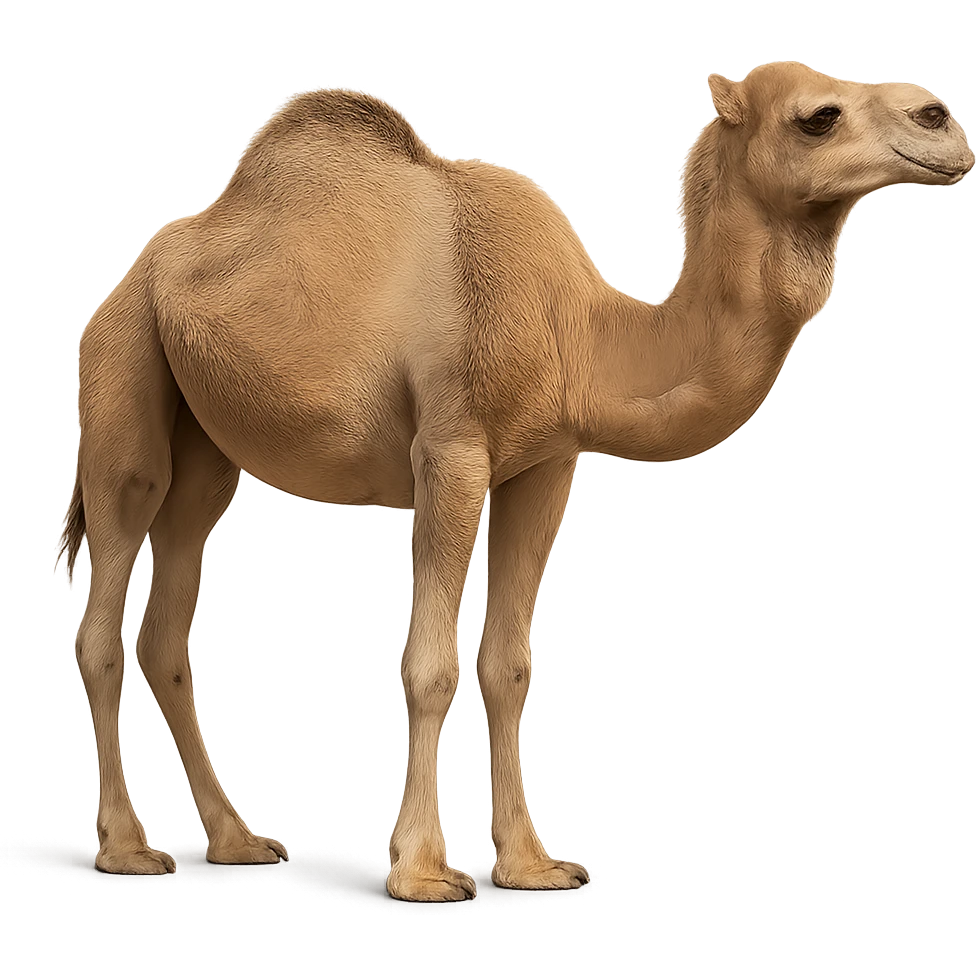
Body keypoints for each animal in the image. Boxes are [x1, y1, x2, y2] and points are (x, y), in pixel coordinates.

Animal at [55, 63, 972, 901]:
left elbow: (509, 665)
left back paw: (237, 840)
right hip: (123, 380)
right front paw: (423, 870)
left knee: (169, 625)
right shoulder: (452, 452)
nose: (944, 119)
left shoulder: (545, 466)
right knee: (106, 607)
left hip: (209, 451)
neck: (584, 331)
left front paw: (528, 863)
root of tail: (133, 274)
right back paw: (127, 850)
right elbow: (429, 665)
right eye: (819, 116)